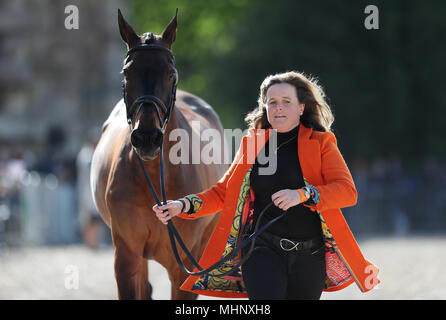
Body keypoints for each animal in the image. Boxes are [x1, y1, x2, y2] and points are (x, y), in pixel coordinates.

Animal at [91, 10, 230, 300]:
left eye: (170, 73)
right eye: (127, 72)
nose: (147, 137)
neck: (156, 177)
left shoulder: (183, 266)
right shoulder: (127, 256)